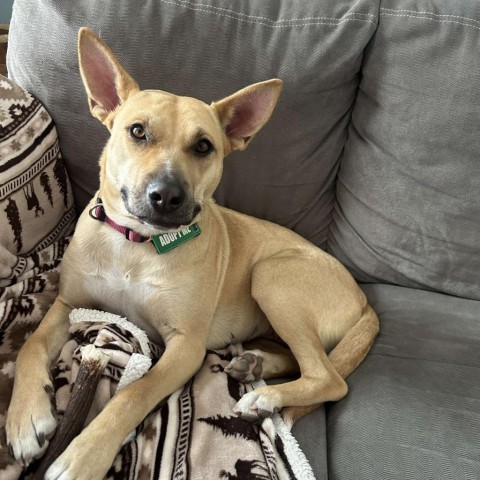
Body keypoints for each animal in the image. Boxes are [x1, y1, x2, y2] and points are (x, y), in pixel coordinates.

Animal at [4, 28, 378, 478]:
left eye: (203, 146)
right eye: (137, 131)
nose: (166, 195)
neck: (137, 245)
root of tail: (364, 302)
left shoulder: (184, 347)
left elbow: (132, 395)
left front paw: (84, 455)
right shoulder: (67, 304)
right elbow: (31, 345)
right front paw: (25, 418)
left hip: (272, 276)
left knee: (329, 376)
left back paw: (266, 396)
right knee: (307, 360)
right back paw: (256, 365)